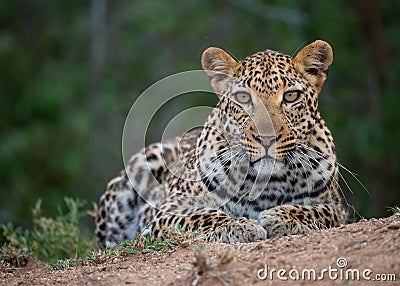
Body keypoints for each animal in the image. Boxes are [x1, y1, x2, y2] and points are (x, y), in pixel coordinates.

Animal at [94, 39, 346, 249]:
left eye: (291, 96)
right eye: (243, 97)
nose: (266, 138)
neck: (267, 186)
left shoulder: (337, 209)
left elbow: (315, 212)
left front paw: (281, 217)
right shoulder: (169, 211)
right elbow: (201, 216)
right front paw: (240, 226)